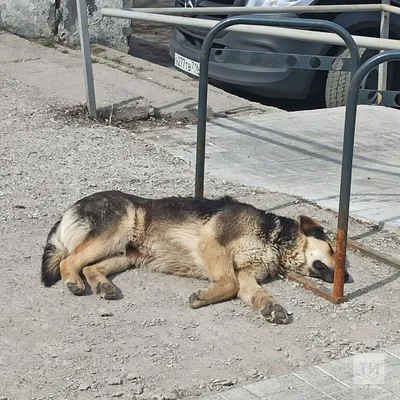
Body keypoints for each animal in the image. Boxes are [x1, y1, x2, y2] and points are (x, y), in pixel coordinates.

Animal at [39, 189, 346, 324]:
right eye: (333, 250)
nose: (349, 278)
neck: (274, 236)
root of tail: (69, 210)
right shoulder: (213, 243)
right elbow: (229, 284)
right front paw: (204, 297)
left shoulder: (247, 275)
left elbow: (255, 292)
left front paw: (271, 306)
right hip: (115, 232)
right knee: (69, 261)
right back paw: (73, 282)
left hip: (126, 254)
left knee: (90, 267)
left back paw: (103, 285)